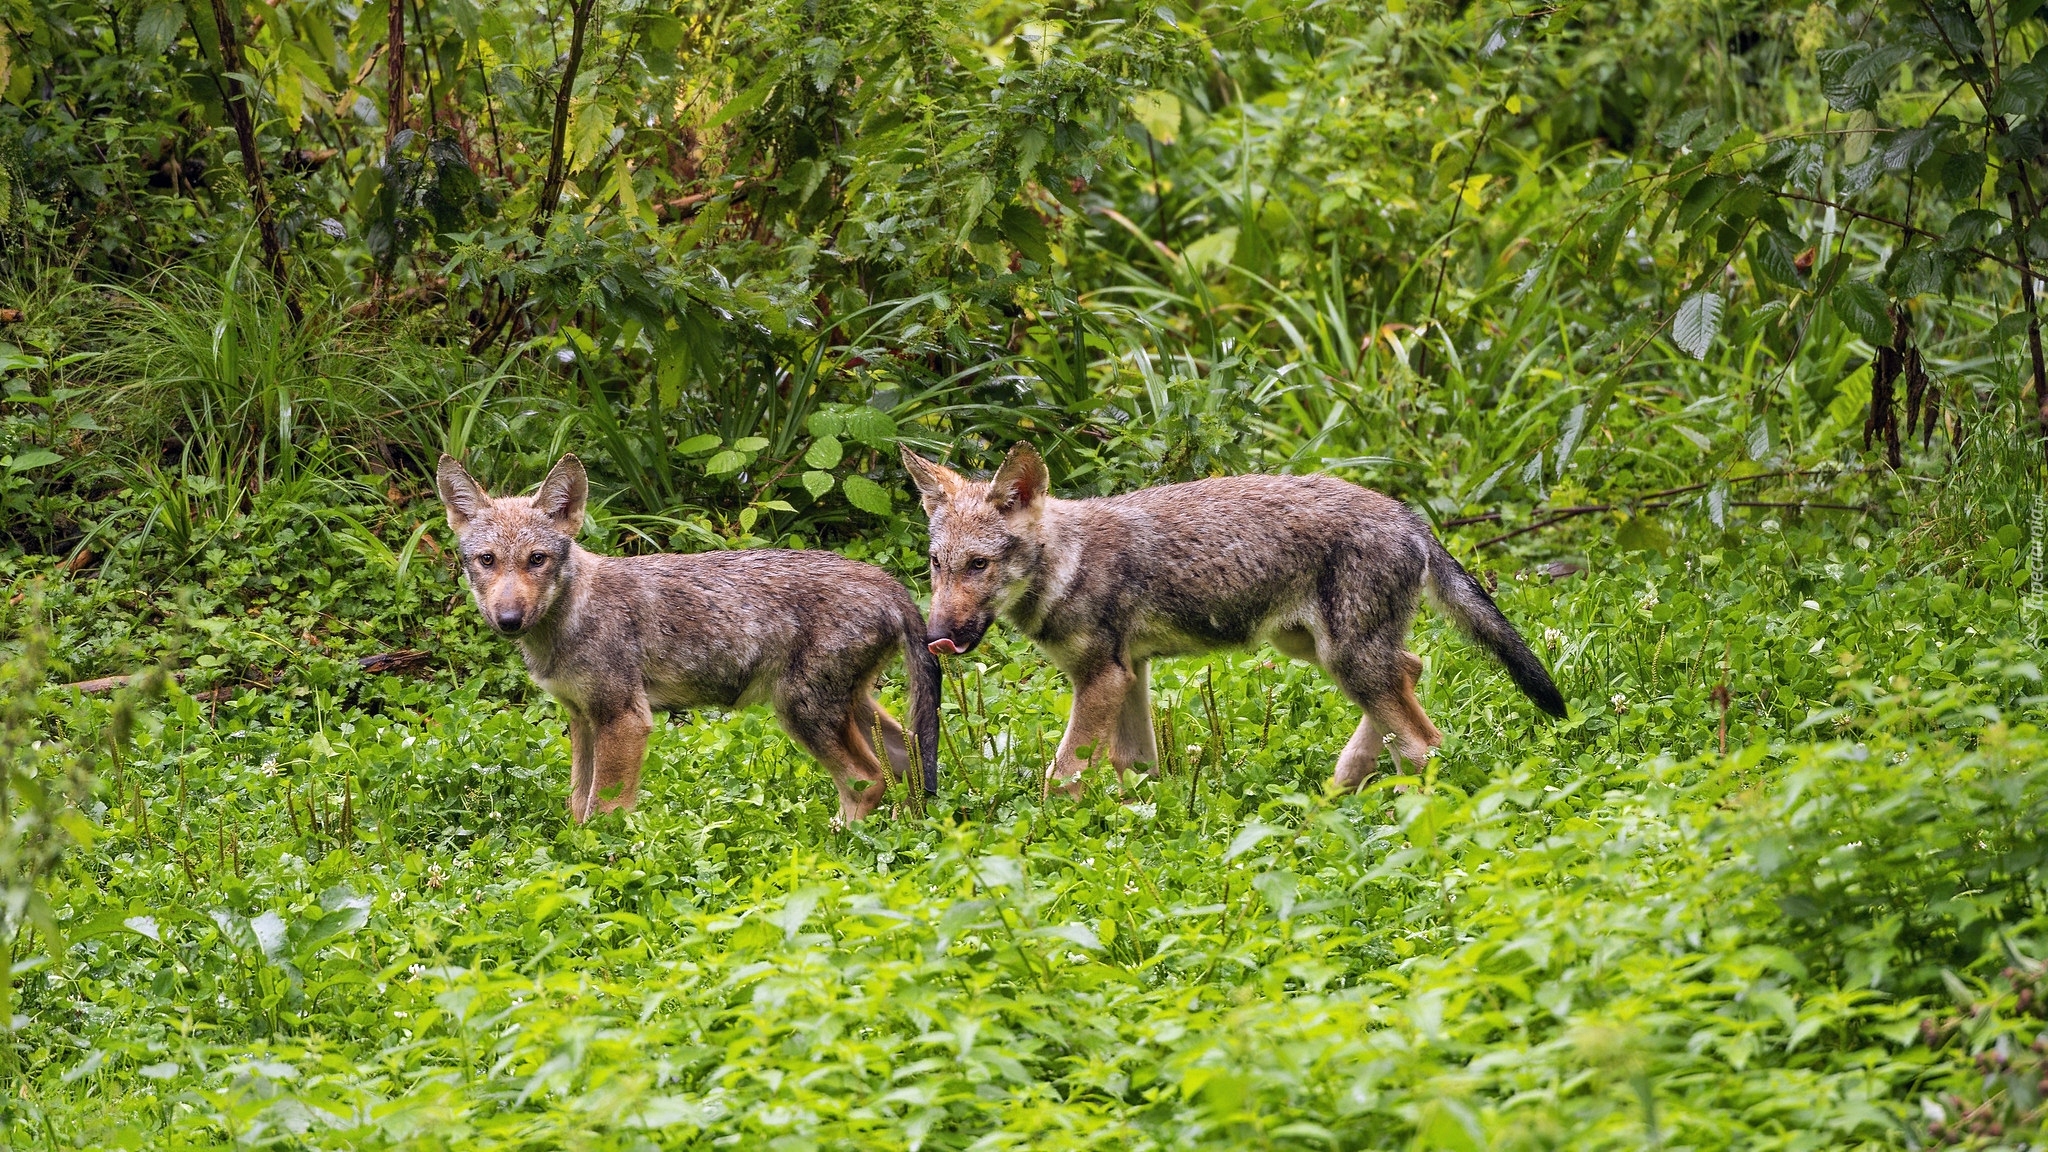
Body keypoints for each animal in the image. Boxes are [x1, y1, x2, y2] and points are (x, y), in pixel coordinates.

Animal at [440, 453, 942, 819]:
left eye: (537, 559)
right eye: (487, 560)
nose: (508, 619)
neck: (570, 619)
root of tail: (888, 582)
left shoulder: (624, 720)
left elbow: (602, 812)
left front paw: (598, 863)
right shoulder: (582, 719)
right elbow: (577, 804)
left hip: (802, 711)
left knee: (869, 780)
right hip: (846, 708)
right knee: (907, 759)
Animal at [901, 444, 1564, 795]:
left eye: (980, 565)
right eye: (937, 564)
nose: (936, 637)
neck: (1069, 560)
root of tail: (1409, 515)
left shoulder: (1103, 679)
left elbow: (1059, 777)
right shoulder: (1128, 675)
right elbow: (1135, 769)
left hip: (1346, 660)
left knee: (1426, 742)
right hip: (1320, 652)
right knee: (1415, 668)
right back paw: (1342, 785)